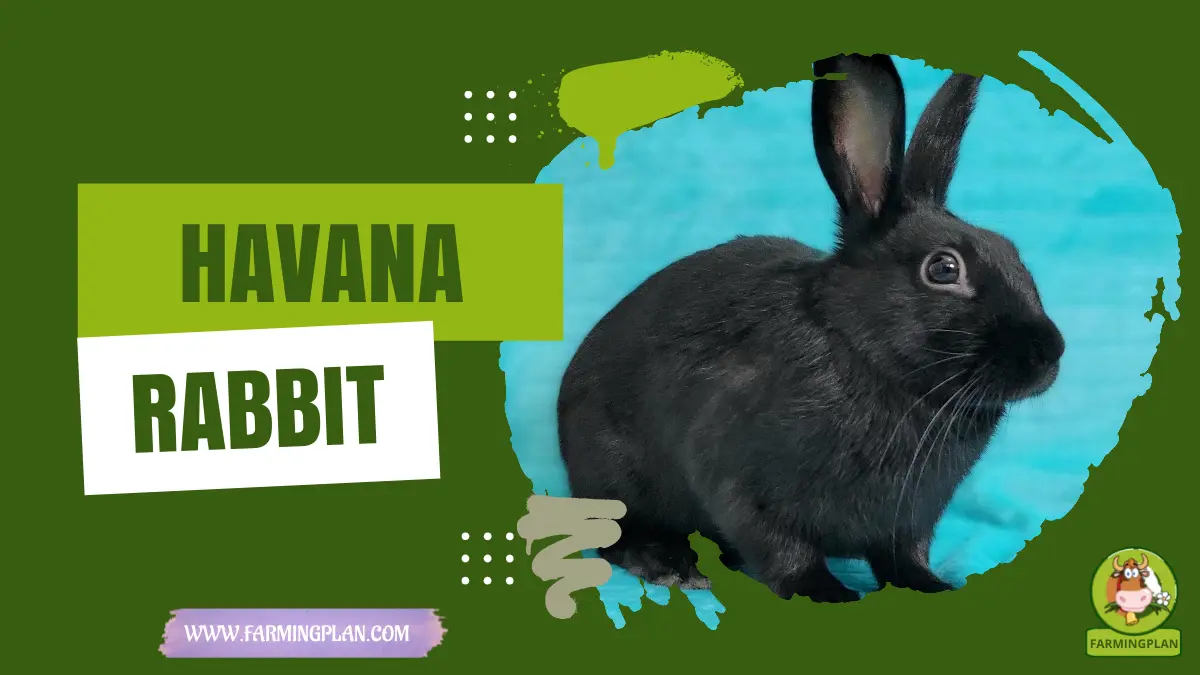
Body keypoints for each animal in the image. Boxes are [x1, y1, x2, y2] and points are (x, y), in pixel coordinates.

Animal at [556, 53, 1065, 603]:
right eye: (944, 269)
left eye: (1011, 251)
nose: (1050, 352)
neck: (865, 357)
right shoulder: (742, 485)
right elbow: (785, 552)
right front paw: (827, 593)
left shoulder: (910, 517)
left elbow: (903, 556)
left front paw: (931, 587)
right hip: (614, 475)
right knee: (613, 535)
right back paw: (670, 564)